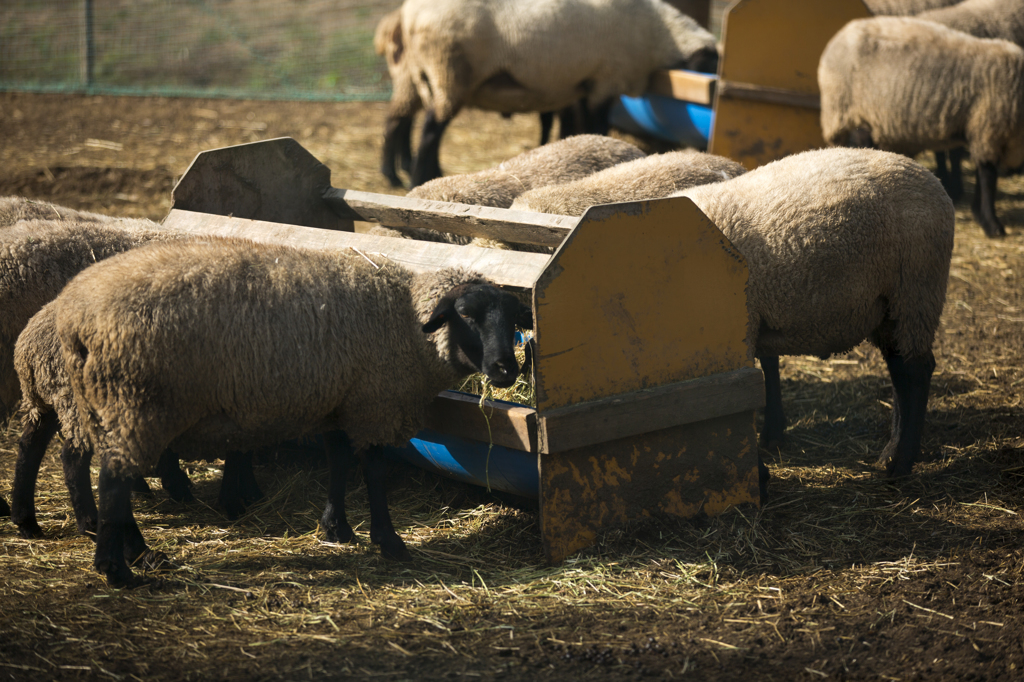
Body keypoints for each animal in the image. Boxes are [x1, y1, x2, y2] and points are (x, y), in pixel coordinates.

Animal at [48, 236, 528, 581]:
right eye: (467, 315)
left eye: (511, 319)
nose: (506, 369)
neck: (407, 320)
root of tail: (76, 320)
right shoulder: (373, 403)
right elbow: (373, 471)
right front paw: (388, 541)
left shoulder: (338, 398)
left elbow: (338, 462)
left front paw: (336, 528)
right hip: (137, 406)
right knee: (114, 482)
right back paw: (119, 567)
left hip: (101, 407)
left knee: (108, 476)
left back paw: (133, 553)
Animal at [393, 0, 720, 184]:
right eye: (711, 65)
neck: (660, 34)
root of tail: (409, 13)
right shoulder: (606, 80)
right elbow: (597, 126)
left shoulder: (582, 87)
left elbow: (573, 129)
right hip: (450, 70)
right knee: (430, 131)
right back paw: (417, 178)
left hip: (427, 73)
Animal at [667, 146, 954, 491]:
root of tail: (930, 178)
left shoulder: (737, 327)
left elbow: (736, 400)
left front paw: (759, 475)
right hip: (890, 307)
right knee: (900, 371)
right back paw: (890, 454)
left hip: (916, 290)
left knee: (917, 371)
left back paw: (902, 463)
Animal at [819, 15, 1024, 236]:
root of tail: (837, 38)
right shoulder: (988, 126)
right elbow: (988, 176)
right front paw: (992, 224)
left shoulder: (984, 131)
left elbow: (982, 173)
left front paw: (980, 214)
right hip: (846, 110)